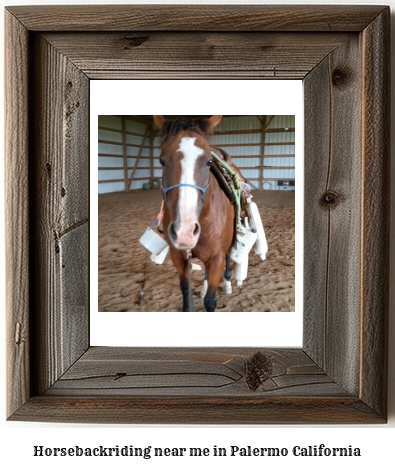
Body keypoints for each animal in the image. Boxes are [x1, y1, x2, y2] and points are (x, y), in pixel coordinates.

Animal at [153, 114, 243, 312]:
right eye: (161, 161)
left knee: (227, 258)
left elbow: (210, 301)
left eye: (208, 162)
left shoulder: (216, 258)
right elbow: (186, 295)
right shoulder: (178, 257)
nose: (184, 231)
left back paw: (227, 284)